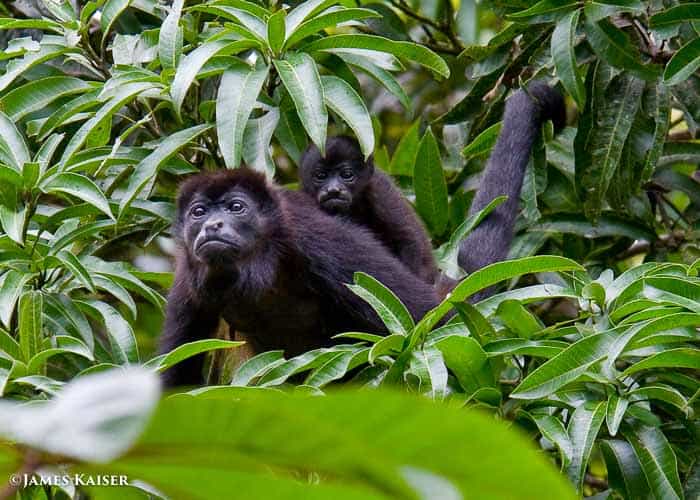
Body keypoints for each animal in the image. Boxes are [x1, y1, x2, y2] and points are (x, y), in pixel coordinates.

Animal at [161, 169, 440, 386]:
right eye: (199, 212)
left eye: (236, 207)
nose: (212, 225)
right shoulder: (187, 280)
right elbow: (177, 375)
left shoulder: (315, 238)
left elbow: (425, 312)